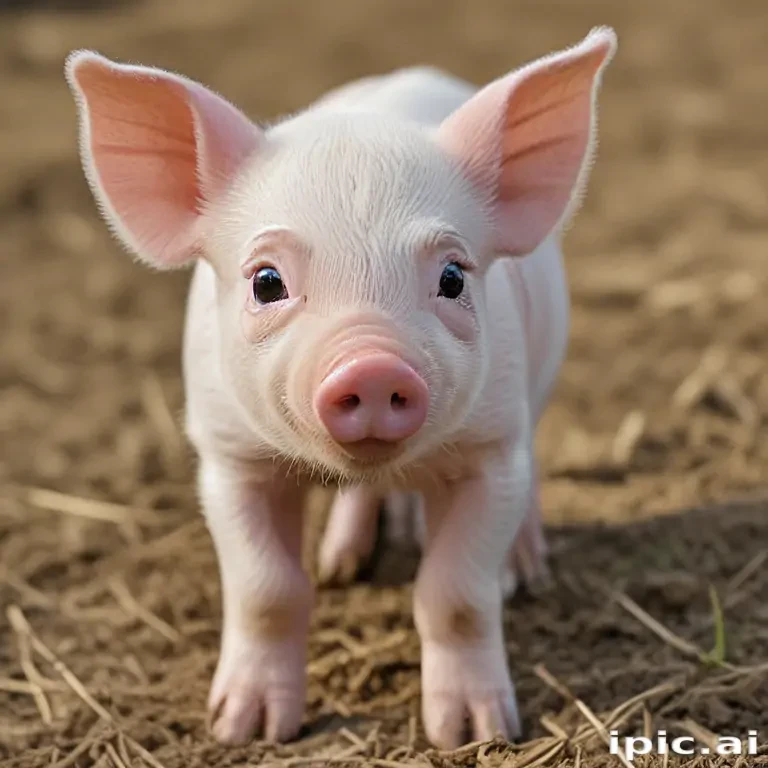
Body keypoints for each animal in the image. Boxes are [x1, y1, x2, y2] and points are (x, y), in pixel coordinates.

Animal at [65, 27, 617, 749]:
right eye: (266, 281)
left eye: (453, 277)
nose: (373, 366)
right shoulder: (228, 457)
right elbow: (267, 591)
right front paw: (245, 730)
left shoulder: (490, 449)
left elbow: (456, 593)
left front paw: (476, 733)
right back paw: (341, 563)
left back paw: (521, 572)